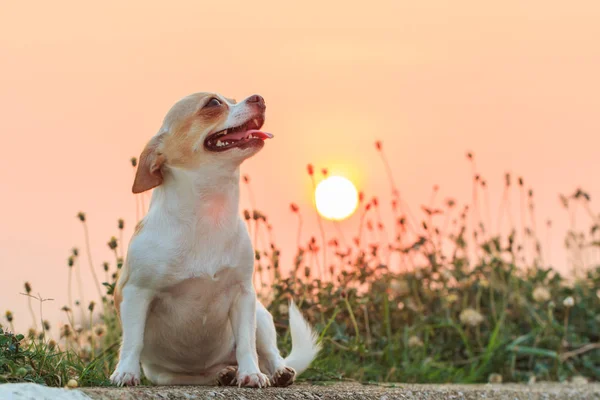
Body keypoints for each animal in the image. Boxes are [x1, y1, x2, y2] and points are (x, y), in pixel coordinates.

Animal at [110, 93, 322, 388]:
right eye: (213, 103)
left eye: (233, 99)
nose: (258, 97)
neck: (210, 211)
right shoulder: (136, 292)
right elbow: (132, 341)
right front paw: (126, 372)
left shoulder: (243, 295)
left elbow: (246, 344)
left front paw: (251, 374)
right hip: (168, 375)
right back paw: (225, 374)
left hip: (260, 315)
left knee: (269, 352)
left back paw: (275, 372)